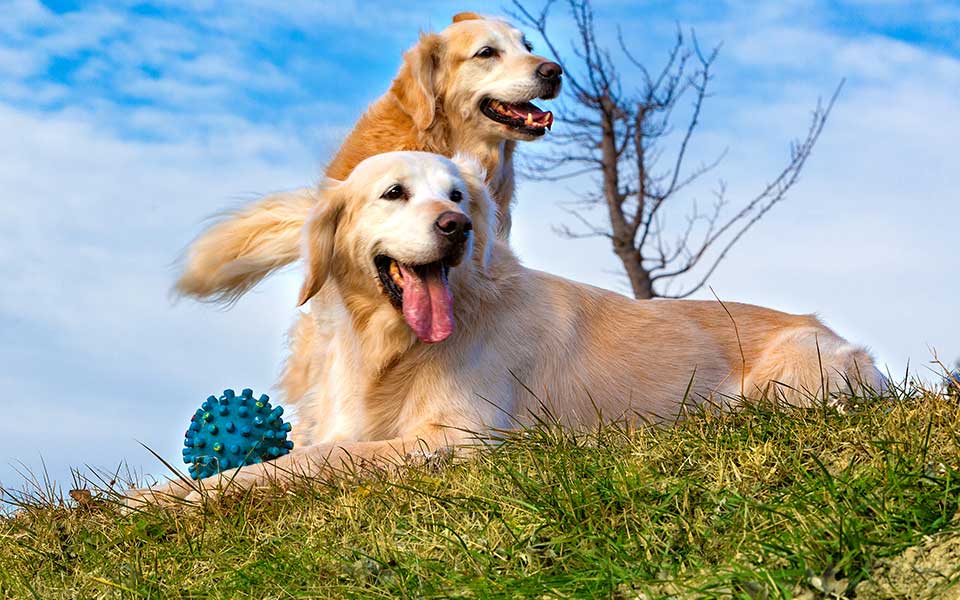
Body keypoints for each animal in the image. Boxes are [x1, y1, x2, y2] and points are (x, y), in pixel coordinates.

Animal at [125, 151, 884, 506]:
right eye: (394, 193)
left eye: (458, 196)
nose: (456, 226)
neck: (394, 349)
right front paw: (150, 495)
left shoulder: (457, 441)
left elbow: (312, 461)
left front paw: (195, 495)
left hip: (786, 384)